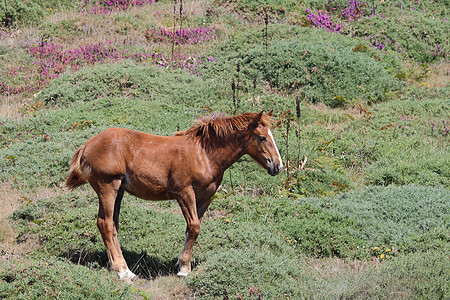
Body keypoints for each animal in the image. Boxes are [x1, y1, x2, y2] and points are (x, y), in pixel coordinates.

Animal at [64, 110, 282, 282]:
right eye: (262, 137)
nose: (277, 166)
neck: (204, 154)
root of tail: (86, 146)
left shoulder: (205, 197)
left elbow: (191, 229)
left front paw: (181, 263)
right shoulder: (184, 193)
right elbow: (193, 227)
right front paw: (184, 269)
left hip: (119, 191)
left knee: (112, 225)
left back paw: (123, 268)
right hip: (107, 186)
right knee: (106, 224)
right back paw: (122, 272)